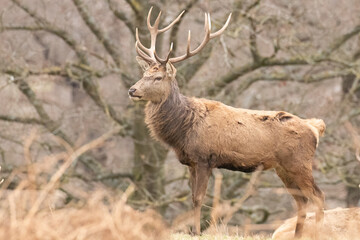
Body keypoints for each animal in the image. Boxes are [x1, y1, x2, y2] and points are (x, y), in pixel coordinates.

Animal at [129, 7, 326, 238]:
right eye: (144, 73)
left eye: (158, 77)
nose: (132, 90)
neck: (184, 128)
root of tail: (315, 128)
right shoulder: (191, 162)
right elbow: (192, 198)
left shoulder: (204, 158)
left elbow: (198, 199)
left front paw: (197, 232)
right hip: (283, 168)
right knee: (301, 201)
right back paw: (298, 235)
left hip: (299, 163)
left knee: (318, 197)